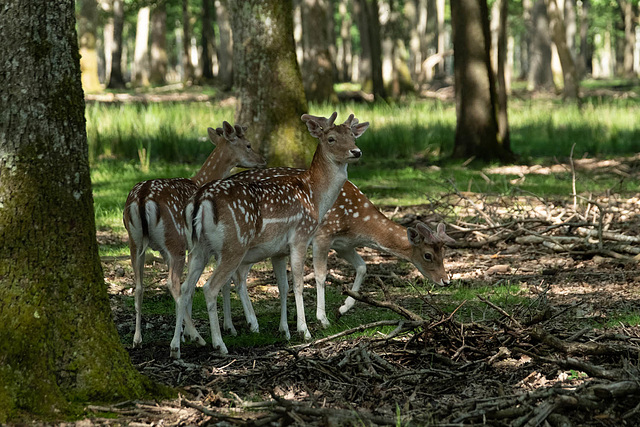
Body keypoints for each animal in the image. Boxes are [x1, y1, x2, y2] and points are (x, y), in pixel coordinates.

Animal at [122, 122, 264, 350]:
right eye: (249, 145)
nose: (262, 160)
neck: (199, 180)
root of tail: (142, 199)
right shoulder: (196, 246)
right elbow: (203, 285)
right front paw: (194, 333)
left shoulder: (167, 251)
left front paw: (181, 333)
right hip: (175, 241)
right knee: (172, 283)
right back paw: (198, 336)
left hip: (134, 241)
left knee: (139, 286)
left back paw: (137, 339)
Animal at [170, 111, 370, 358]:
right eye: (331, 138)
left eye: (353, 136)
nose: (356, 151)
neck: (315, 197)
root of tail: (199, 201)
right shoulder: (301, 236)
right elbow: (298, 284)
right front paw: (304, 331)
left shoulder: (278, 251)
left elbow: (283, 286)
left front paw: (285, 331)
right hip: (233, 245)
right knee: (208, 287)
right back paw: (219, 343)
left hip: (199, 247)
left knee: (185, 288)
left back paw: (179, 345)